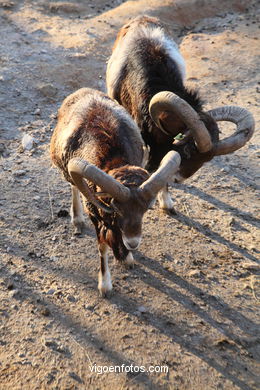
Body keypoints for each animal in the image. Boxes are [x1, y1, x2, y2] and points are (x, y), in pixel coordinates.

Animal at [50, 87, 181, 296]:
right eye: (118, 209)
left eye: (145, 210)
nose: (133, 243)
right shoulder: (96, 215)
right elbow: (102, 247)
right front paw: (105, 286)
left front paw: (126, 257)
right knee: (73, 187)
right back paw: (77, 219)